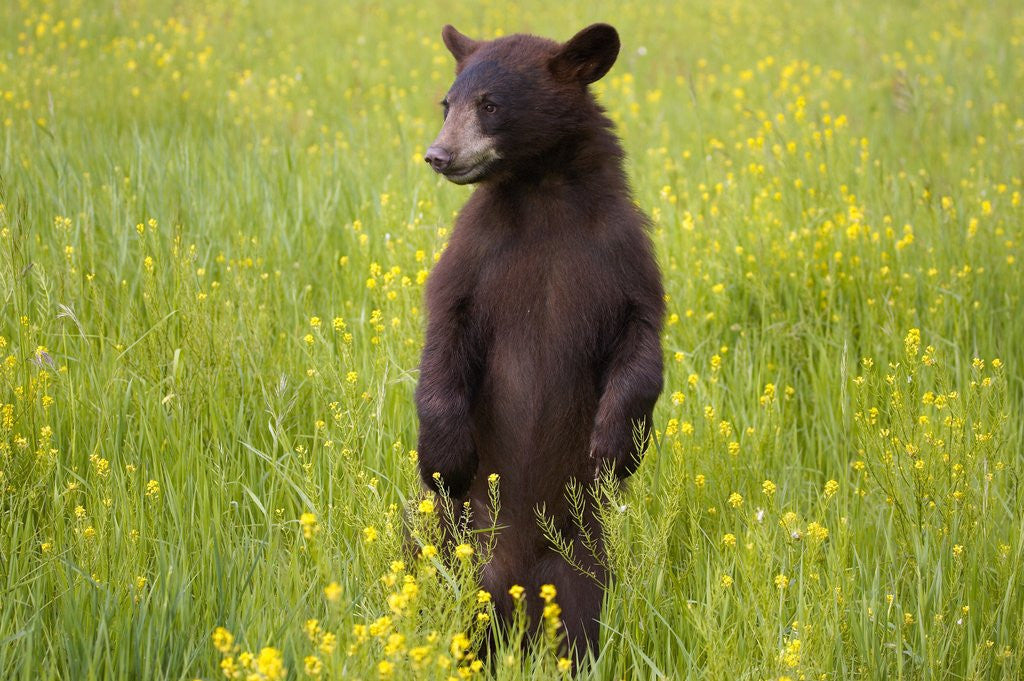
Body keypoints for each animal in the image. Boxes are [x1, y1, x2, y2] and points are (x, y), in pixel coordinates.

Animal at [415, 22, 664, 663]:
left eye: (490, 104)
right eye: (447, 102)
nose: (437, 155)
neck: (543, 194)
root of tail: (514, 591)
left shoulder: (620, 252)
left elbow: (642, 341)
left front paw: (614, 448)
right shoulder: (477, 255)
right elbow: (445, 333)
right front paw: (444, 456)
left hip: (583, 559)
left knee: (584, 615)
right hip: (451, 543)